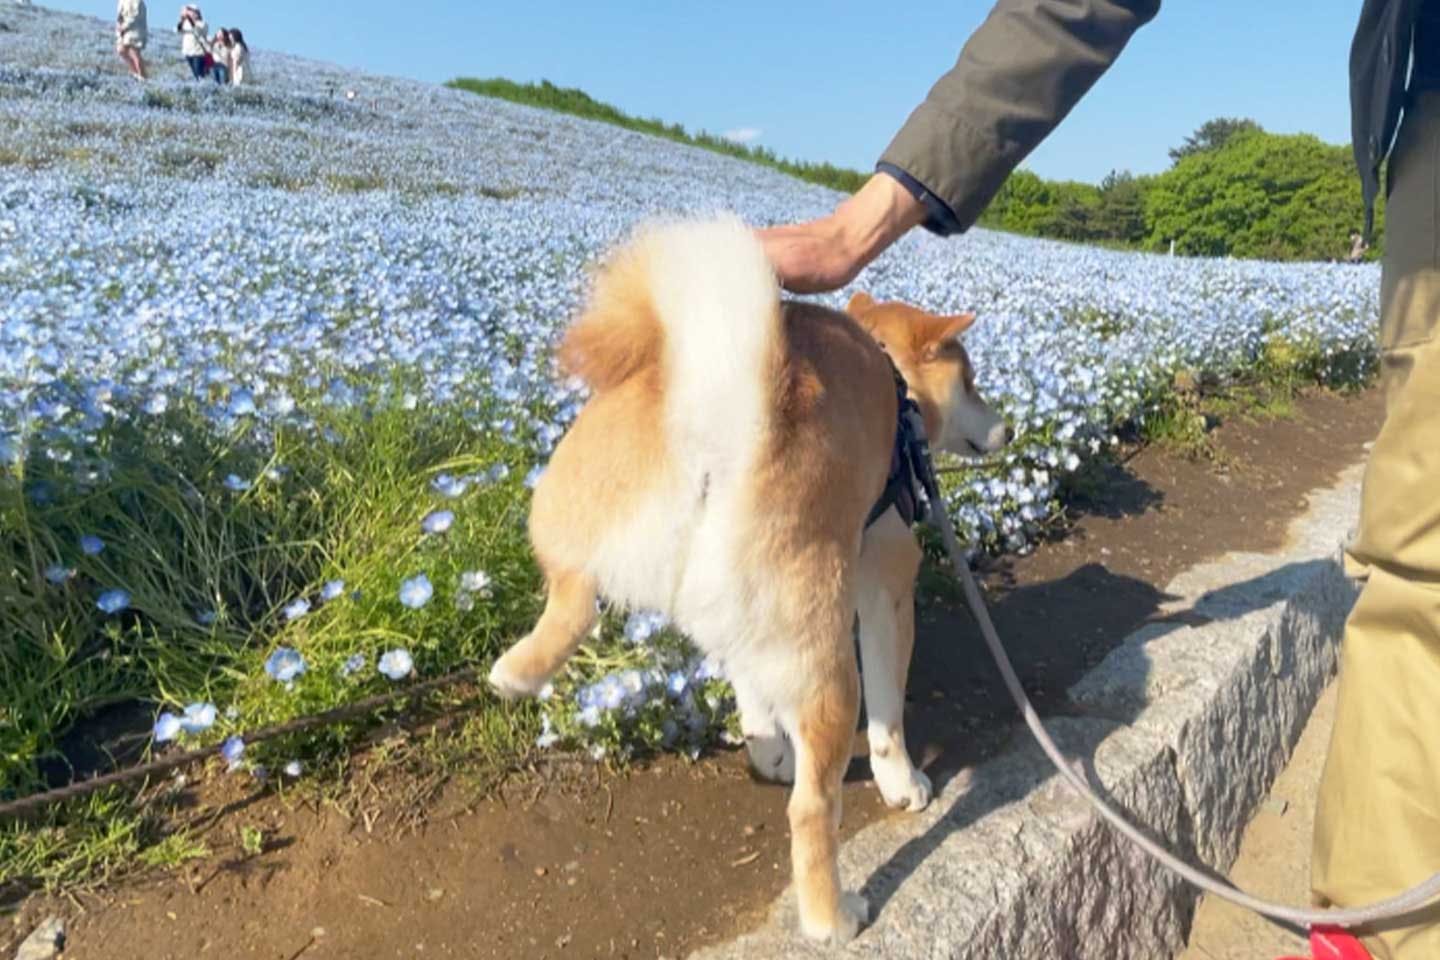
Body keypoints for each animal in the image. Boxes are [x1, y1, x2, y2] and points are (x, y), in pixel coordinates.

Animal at [489, 217, 1008, 944]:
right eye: (974, 382)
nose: (1008, 426)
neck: (892, 376)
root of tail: (715, 420)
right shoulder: (886, 582)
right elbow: (888, 718)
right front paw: (903, 783)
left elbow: (753, 689)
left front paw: (769, 749)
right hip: (827, 663)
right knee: (812, 810)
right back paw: (832, 916)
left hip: (582, 526)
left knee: (571, 603)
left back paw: (517, 672)